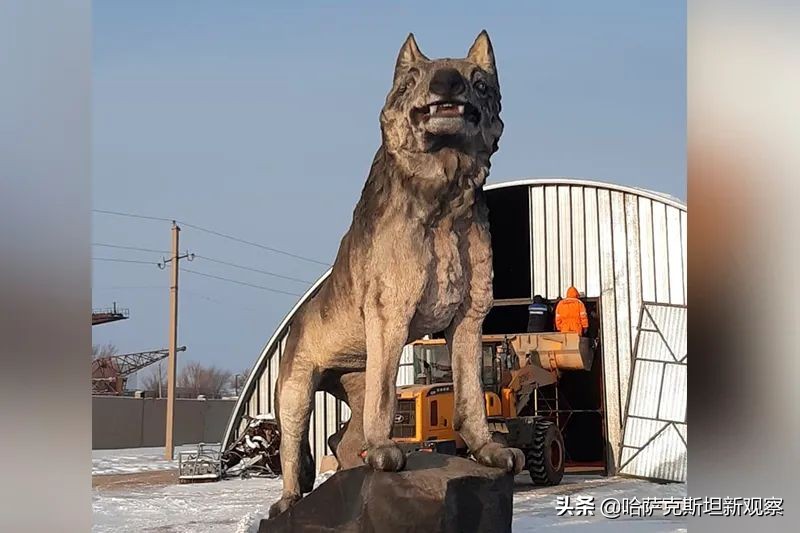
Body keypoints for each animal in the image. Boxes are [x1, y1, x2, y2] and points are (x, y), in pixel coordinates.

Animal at [269, 30, 525, 518]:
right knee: (293, 445)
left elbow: (470, 397)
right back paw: (289, 499)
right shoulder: (391, 316)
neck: (444, 205)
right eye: (412, 79)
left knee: (343, 441)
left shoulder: (469, 319)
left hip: (354, 380)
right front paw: (388, 448)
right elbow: (388, 399)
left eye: (478, 81)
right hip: (296, 389)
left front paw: (488, 450)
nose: (447, 83)